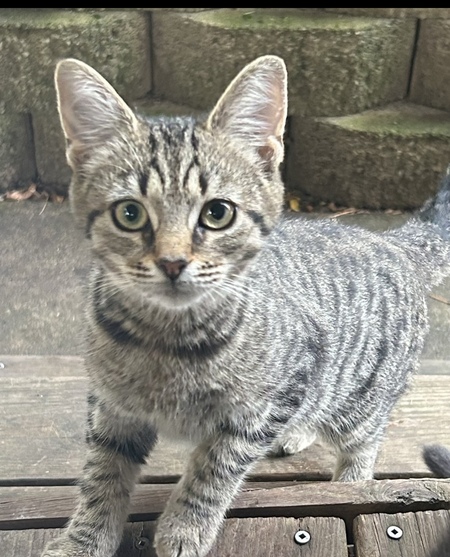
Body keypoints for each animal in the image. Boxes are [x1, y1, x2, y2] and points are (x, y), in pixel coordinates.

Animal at [43, 55, 450, 556]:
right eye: (129, 213)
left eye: (217, 213)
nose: (172, 262)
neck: (167, 340)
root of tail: (394, 241)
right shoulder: (111, 406)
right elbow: (102, 473)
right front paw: (84, 537)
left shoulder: (265, 404)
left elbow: (213, 469)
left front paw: (185, 526)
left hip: (363, 396)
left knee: (366, 440)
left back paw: (351, 482)